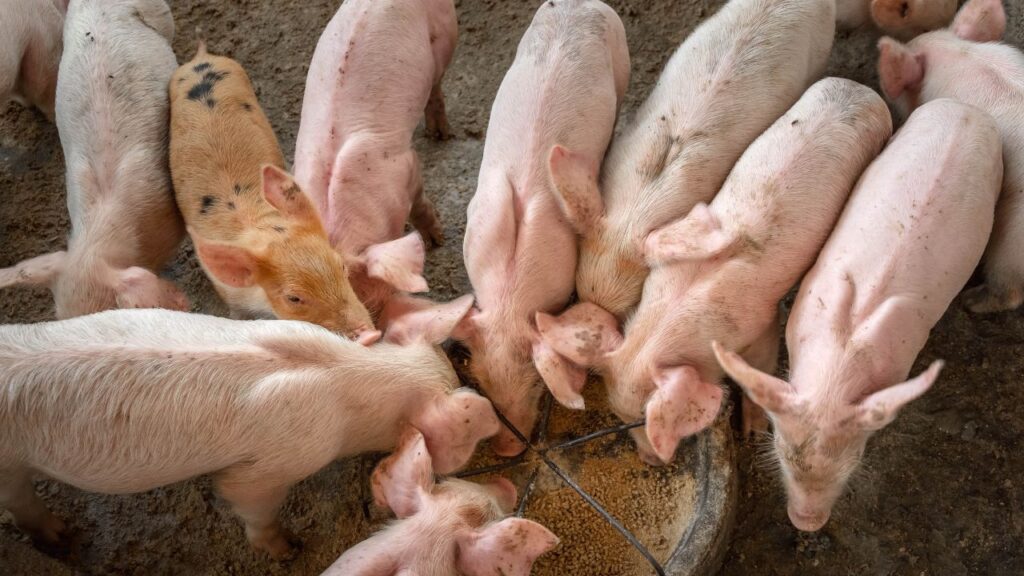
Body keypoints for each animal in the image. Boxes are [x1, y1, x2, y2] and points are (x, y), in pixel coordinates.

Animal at [0, 301, 499, 558]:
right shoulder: (279, 463)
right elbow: (247, 498)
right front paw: (289, 550)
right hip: (11, 465)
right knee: (20, 503)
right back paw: (66, 538)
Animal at [169, 44, 377, 342]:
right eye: (294, 298)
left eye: (341, 267)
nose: (369, 335)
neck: (264, 229)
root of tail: (201, 58)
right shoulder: (232, 298)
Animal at [292, 0, 458, 320]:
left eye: (370, 305)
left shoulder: (406, 166)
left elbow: (420, 205)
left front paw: (436, 241)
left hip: (445, 34)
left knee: (436, 83)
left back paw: (441, 134)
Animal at [453, 0, 629, 456]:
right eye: (481, 380)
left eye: (536, 382)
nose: (506, 450)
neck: (509, 299)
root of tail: (578, 4)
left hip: (621, 54)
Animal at [538, 78, 893, 465]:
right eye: (620, 417)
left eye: (643, 420)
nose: (652, 461)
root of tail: (858, 87)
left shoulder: (762, 325)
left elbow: (759, 370)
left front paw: (752, 433)